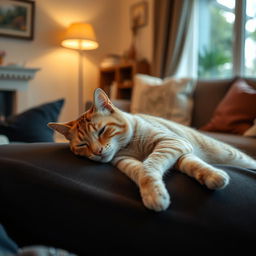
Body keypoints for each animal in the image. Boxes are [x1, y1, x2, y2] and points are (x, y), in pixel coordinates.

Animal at [48, 88, 256, 212]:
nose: (97, 151)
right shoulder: (126, 161)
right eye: (82, 145)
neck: (132, 146)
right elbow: (144, 171)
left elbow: (154, 164)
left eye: (102, 131)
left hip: (235, 156)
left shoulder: (172, 143)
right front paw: (154, 192)